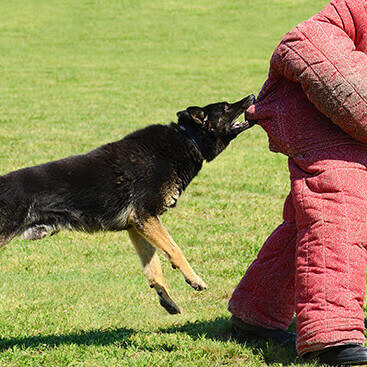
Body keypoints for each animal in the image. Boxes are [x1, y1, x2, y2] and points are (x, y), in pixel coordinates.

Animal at [0, 94, 256, 314]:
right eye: (225, 106)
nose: (252, 96)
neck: (186, 138)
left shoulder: (136, 225)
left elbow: (153, 266)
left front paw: (166, 298)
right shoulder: (145, 216)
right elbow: (174, 249)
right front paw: (194, 279)